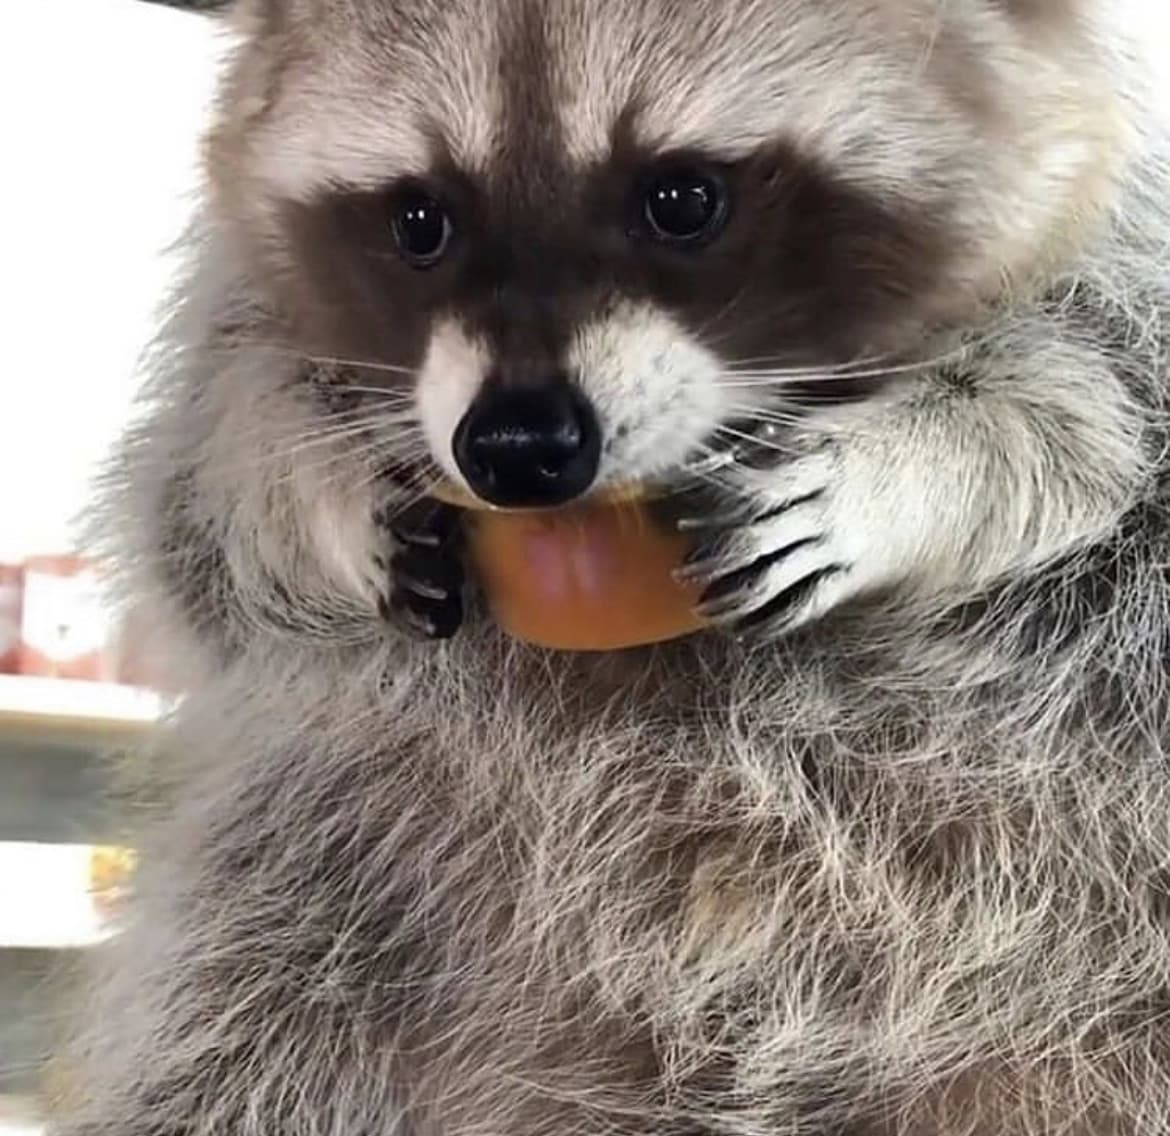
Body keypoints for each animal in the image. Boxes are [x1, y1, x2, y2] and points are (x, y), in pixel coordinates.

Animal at [57, 0, 1170, 1132]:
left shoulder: (1112, 288)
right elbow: (205, 508)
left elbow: (1081, 427)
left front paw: (896, 477)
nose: (516, 446)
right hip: (298, 914)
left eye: (681, 200)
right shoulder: (236, 335)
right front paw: (327, 503)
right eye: (420, 220)